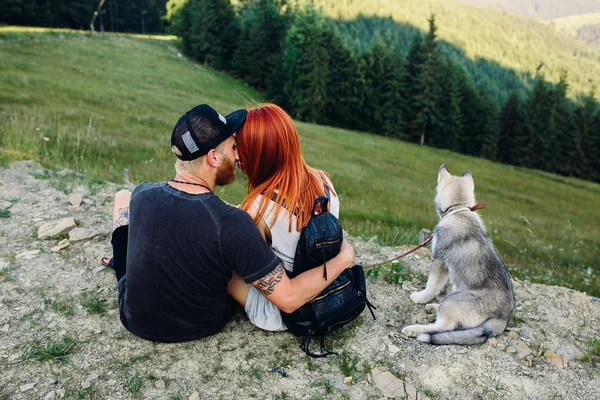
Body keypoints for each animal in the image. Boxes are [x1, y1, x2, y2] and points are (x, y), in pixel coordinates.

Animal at [400, 164, 512, 346]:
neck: (459, 209)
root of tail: (502, 319)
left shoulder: (439, 261)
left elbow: (431, 286)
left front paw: (420, 298)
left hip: (453, 301)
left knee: (444, 326)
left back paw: (414, 329)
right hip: (453, 297)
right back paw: (434, 307)